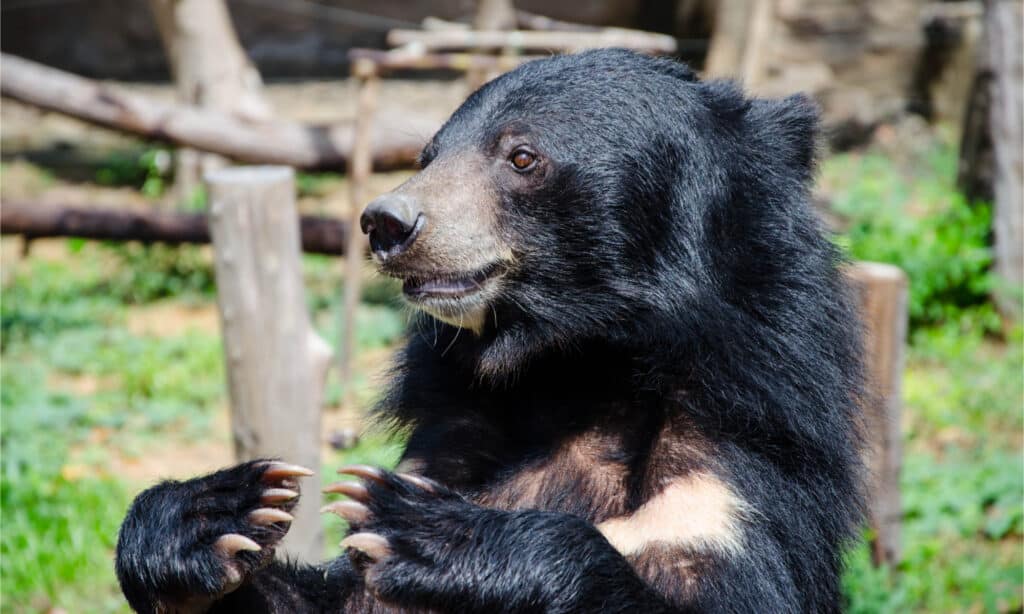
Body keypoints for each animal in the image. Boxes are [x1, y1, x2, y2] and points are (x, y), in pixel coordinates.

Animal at [114, 49, 864, 614]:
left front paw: (430, 531)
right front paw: (218, 513)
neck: (572, 367)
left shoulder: (728, 471)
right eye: (428, 155)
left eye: (522, 157)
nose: (385, 223)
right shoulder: (450, 436)